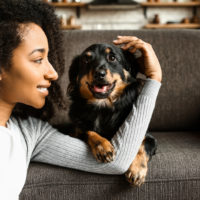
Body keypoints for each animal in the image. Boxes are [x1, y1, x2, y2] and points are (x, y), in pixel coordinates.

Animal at [68, 43, 157, 186]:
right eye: (86, 59)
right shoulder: (75, 131)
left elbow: (143, 145)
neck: (102, 107)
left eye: (112, 58)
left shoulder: (149, 137)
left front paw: (137, 170)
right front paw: (103, 147)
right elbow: (88, 131)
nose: (99, 74)